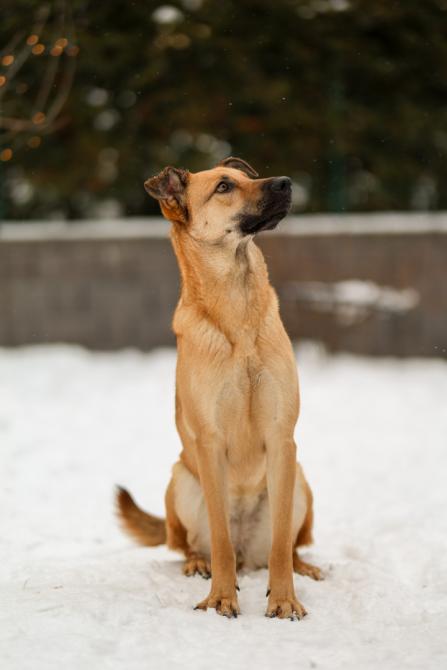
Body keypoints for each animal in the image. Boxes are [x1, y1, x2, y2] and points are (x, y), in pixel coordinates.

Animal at [117, 156, 322, 619]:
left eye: (249, 175)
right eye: (225, 186)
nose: (286, 182)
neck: (238, 312)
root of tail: (250, 554)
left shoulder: (282, 439)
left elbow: (281, 543)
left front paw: (284, 599)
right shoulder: (209, 443)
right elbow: (220, 541)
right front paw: (221, 598)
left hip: (300, 479)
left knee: (288, 544)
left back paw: (303, 567)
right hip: (181, 480)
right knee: (191, 543)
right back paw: (198, 564)